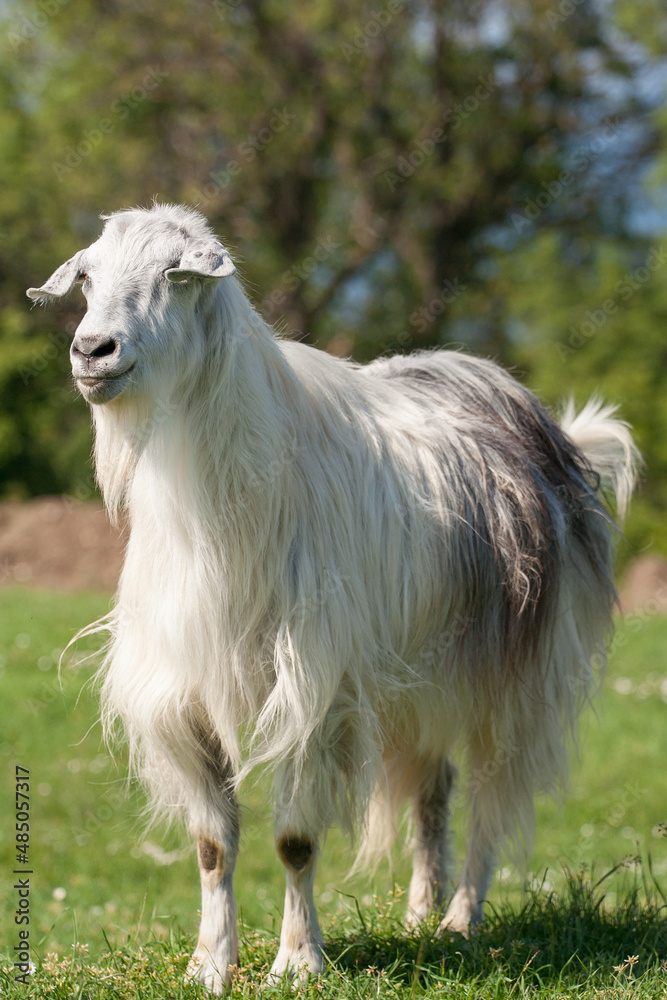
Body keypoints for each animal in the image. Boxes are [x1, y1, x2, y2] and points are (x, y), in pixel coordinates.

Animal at [28, 204, 637, 992]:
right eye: (87, 277)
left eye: (176, 274)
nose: (92, 350)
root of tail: (553, 433)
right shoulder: (185, 696)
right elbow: (211, 844)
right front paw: (208, 966)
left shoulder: (312, 693)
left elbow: (294, 841)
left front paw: (297, 963)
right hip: (418, 679)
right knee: (434, 785)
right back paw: (420, 913)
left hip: (515, 673)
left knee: (491, 795)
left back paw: (462, 919)